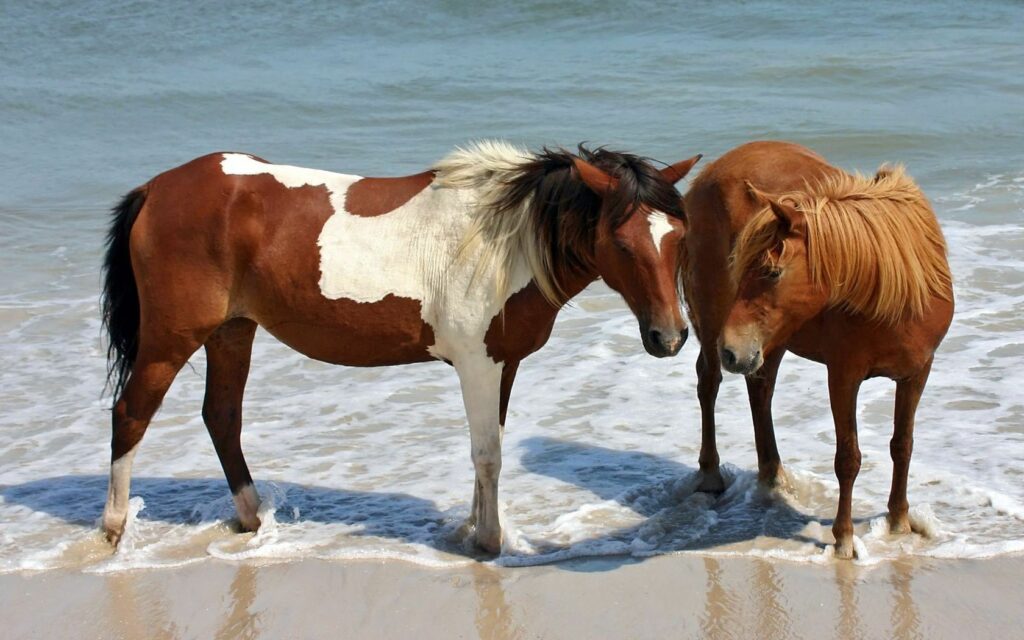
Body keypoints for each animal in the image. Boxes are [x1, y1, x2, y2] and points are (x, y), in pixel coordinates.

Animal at [100, 140, 703, 553]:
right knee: (131, 414)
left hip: (232, 332)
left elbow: (490, 446)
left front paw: (474, 527)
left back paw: (250, 520)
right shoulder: (477, 364)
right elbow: (487, 453)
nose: (669, 337)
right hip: (171, 339)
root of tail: (158, 188)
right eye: (621, 243)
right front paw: (488, 542)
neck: (502, 242)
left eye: (678, 236)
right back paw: (113, 527)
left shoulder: (501, 364)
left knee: (222, 416)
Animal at [681, 141, 953, 558]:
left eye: (772, 272)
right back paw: (711, 473)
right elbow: (848, 458)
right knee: (708, 383)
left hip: (769, 342)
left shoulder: (917, 372)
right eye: (740, 267)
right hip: (717, 324)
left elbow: (902, 445)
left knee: (760, 390)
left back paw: (773, 475)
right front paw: (843, 539)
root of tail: (709, 173)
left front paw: (899, 521)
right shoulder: (843, 375)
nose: (732, 350)